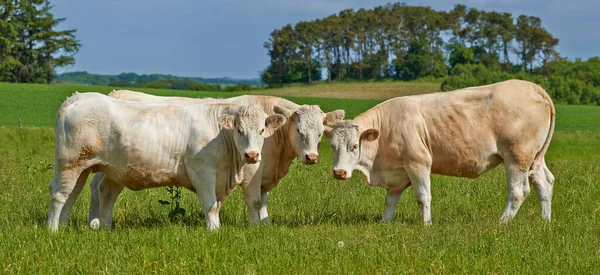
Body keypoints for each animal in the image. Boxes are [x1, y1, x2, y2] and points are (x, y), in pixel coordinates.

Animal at [49, 92, 286, 231]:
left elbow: (216, 205)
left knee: (76, 194)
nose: (252, 155)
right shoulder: (202, 171)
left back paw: (68, 227)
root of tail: (79, 98)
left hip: (90, 168)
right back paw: (53, 230)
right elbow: (210, 205)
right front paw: (214, 231)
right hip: (69, 162)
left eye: (262, 130)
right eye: (239, 130)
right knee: (59, 194)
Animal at [80, 91, 344, 230]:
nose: (312, 157)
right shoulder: (252, 173)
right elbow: (254, 201)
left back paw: (97, 222)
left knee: (97, 188)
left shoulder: (264, 173)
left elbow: (264, 201)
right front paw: (255, 227)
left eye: (320, 132)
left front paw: (266, 224)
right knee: (99, 188)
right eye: (299, 130)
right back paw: (97, 223)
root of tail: (117, 93)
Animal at [326, 79, 556, 224]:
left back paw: (502, 223)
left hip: (517, 157)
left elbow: (423, 197)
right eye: (333, 146)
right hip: (534, 159)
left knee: (518, 192)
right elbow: (390, 200)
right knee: (544, 183)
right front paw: (384, 223)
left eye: (354, 146)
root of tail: (531, 87)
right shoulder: (397, 173)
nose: (339, 173)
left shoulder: (418, 163)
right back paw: (545, 222)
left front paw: (426, 224)